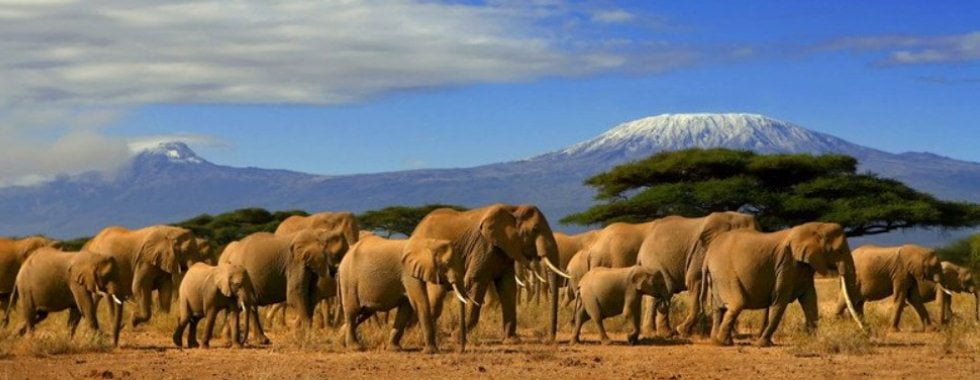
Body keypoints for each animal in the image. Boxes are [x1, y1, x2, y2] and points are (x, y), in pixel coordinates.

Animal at [219, 229, 348, 344]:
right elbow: (295, 294)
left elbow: (310, 296)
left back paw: (260, 341)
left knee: (250, 305)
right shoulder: (295, 262)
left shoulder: (310, 265)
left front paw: (303, 338)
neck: (319, 233)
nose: (336, 271)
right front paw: (309, 340)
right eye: (339, 254)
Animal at [336, 235, 474, 354]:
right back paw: (355, 348)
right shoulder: (408, 273)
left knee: (363, 313)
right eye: (446, 263)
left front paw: (395, 349)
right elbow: (419, 302)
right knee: (352, 312)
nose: (461, 350)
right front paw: (432, 351)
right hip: (348, 279)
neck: (429, 243)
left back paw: (341, 342)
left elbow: (406, 308)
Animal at [412, 205, 572, 344]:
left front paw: (512, 340)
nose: (550, 339)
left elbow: (508, 287)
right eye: (535, 229)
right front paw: (456, 337)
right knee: (436, 296)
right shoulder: (484, 246)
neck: (513, 208)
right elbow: (475, 281)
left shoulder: (505, 249)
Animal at [700, 223, 860, 348]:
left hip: (716, 276)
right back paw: (722, 342)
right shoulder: (786, 264)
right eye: (839, 251)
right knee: (737, 304)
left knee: (718, 308)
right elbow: (780, 300)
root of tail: (707, 255)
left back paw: (717, 341)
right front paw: (763, 344)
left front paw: (813, 341)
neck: (813, 228)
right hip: (724, 272)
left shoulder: (803, 267)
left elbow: (810, 300)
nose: (864, 331)